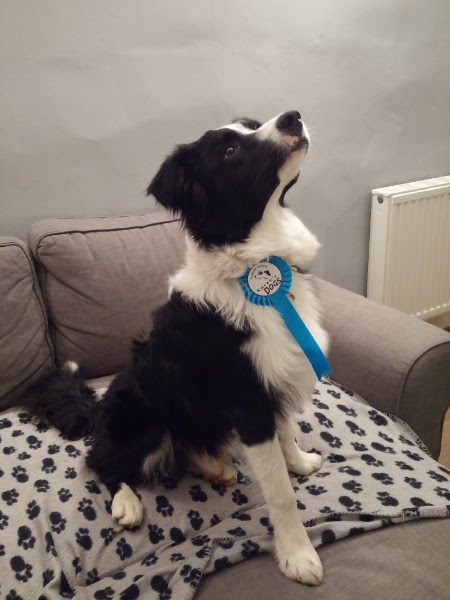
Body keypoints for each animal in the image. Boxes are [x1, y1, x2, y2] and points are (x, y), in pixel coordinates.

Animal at [23, 112, 326, 584]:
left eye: (252, 124)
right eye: (229, 151)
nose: (291, 117)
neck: (254, 261)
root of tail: (98, 410)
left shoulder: (276, 378)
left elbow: (286, 430)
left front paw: (299, 460)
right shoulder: (248, 401)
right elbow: (280, 491)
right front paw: (298, 555)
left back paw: (214, 466)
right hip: (141, 419)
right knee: (99, 462)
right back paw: (127, 502)